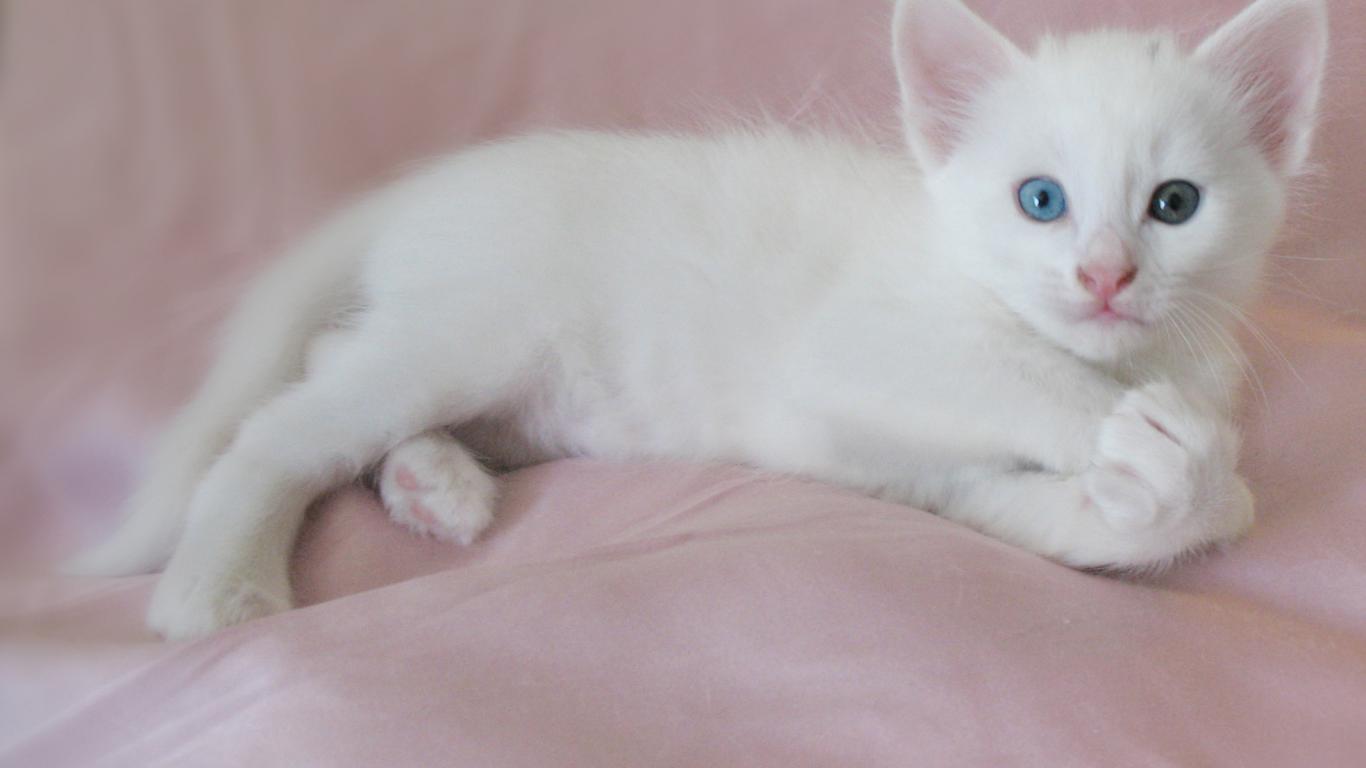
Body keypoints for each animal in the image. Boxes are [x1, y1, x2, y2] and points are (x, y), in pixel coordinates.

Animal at [67, 0, 1327, 639]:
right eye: (1041, 202)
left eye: (1174, 206)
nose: (1105, 277)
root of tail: (432, 182)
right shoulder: (858, 344)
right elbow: (1030, 384)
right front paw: (1134, 432)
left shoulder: (947, 482)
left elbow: (1179, 510)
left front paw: (1162, 477)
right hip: (473, 330)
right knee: (276, 428)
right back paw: (214, 591)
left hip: (504, 377)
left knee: (336, 360)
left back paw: (434, 483)